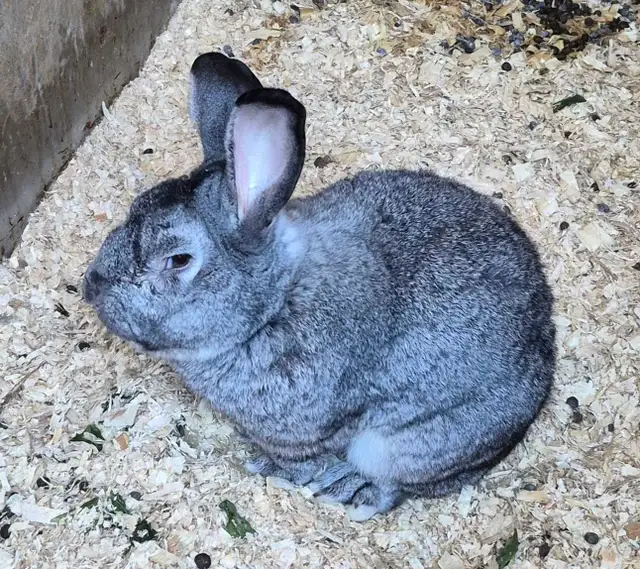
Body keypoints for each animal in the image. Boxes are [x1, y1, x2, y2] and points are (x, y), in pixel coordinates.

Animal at [83, 51, 556, 521]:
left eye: (178, 260)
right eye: (134, 208)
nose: (91, 287)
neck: (274, 304)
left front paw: (275, 469)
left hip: (409, 442)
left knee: (396, 483)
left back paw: (352, 488)